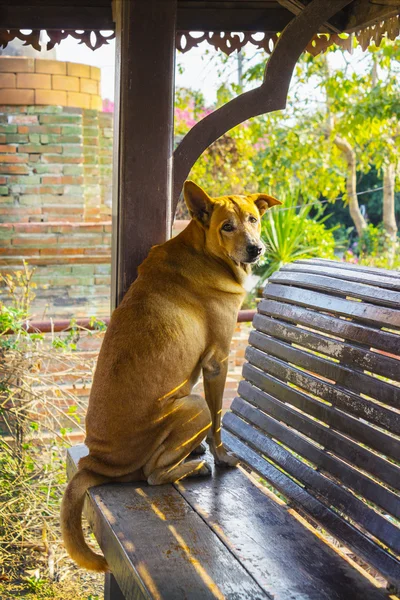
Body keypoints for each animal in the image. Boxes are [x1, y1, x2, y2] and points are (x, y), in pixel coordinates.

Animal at [61, 182, 280, 572]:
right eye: (227, 226)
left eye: (254, 219)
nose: (255, 248)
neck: (203, 250)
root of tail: (95, 461)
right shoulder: (217, 363)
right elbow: (220, 424)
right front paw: (221, 455)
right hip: (194, 405)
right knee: (153, 473)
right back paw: (197, 467)